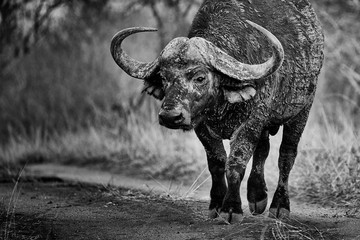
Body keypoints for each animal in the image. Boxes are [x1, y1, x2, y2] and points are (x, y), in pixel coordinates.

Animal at [109, 0, 324, 223]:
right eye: (164, 77)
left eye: (200, 78)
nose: (170, 116)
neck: (221, 106)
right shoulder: (203, 126)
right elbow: (217, 163)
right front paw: (216, 205)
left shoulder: (250, 123)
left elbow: (235, 164)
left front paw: (231, 208)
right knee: (263, 149)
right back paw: (257, 197)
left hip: (301, 112)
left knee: (286, 156)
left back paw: (280, 205)